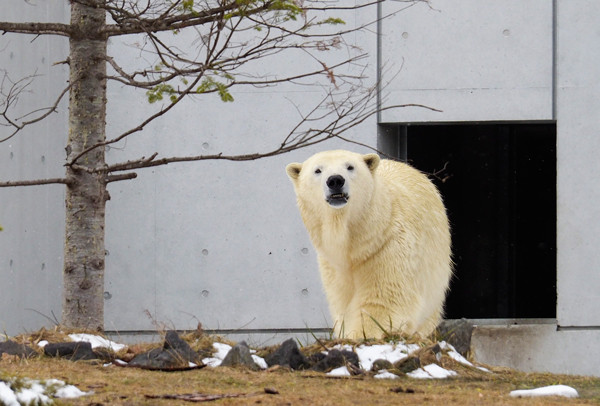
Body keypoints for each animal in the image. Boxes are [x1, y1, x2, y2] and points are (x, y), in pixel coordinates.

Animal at [286, 151, 450, 338]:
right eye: (317, 170)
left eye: (350, 166)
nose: (335, 180)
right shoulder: (333, 264)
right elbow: (341, 301)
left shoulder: (388, 245)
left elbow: (382, 297)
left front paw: (359, 334)